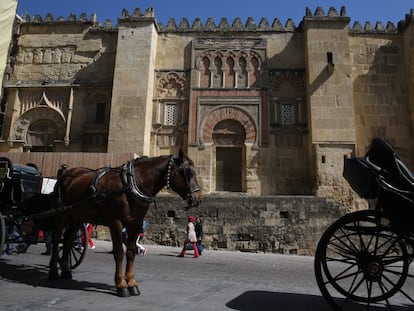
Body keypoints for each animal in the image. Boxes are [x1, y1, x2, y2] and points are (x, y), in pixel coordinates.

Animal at [46, 149, 201, 298]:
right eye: (187, 172)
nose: (198, 198)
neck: (131, 184)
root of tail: (66, 174)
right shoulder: (116, 222)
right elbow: (119, 252)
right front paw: (121, 285)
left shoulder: (135, 224)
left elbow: (131, 252)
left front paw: (132, 283)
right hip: (61, 214)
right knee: (56, 238)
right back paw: (53, 271)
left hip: (76, 216)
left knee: (68, 240)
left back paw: (66, 270)